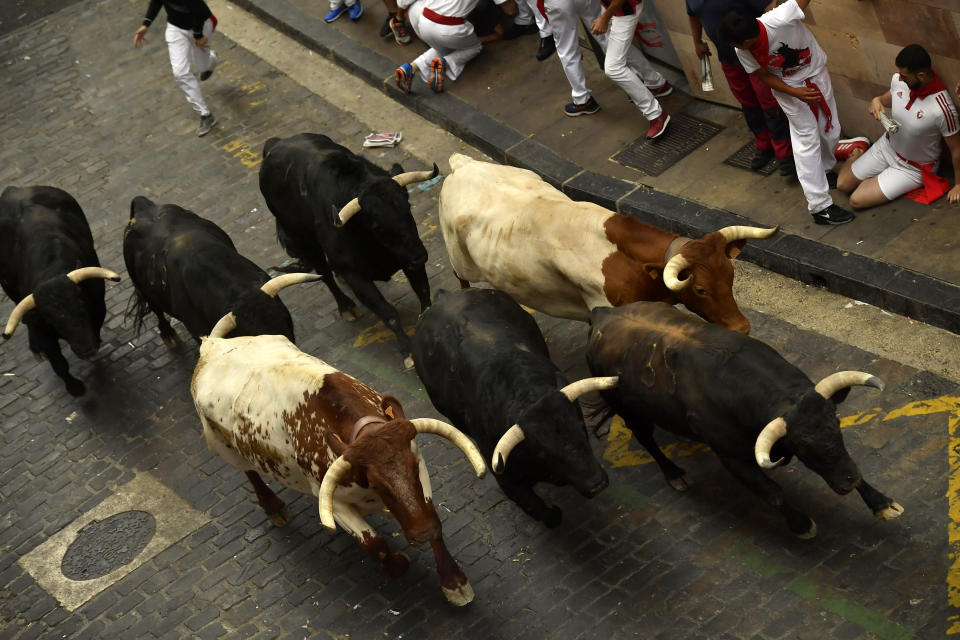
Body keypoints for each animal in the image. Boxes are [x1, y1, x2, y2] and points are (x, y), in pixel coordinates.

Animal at [255, 132, 436, 368]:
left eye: (408, 208)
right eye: (377, 225)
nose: (420, 256)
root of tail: (275, 144)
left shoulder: (408, 257)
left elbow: (424, 294)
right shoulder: (357, 276)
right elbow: (388, 313)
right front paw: (407, 352)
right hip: (306, 241)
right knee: (324, 274)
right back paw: (346, 307)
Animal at [584, 302, 908, 536]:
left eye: (837, 424)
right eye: (801, 445)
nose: (847, 482)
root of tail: (601, 314)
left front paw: (882, 504)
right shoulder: (732, 458)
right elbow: (772, 493)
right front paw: (802, 525)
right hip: (627, 408)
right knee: (646, 439)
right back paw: (675, 474)